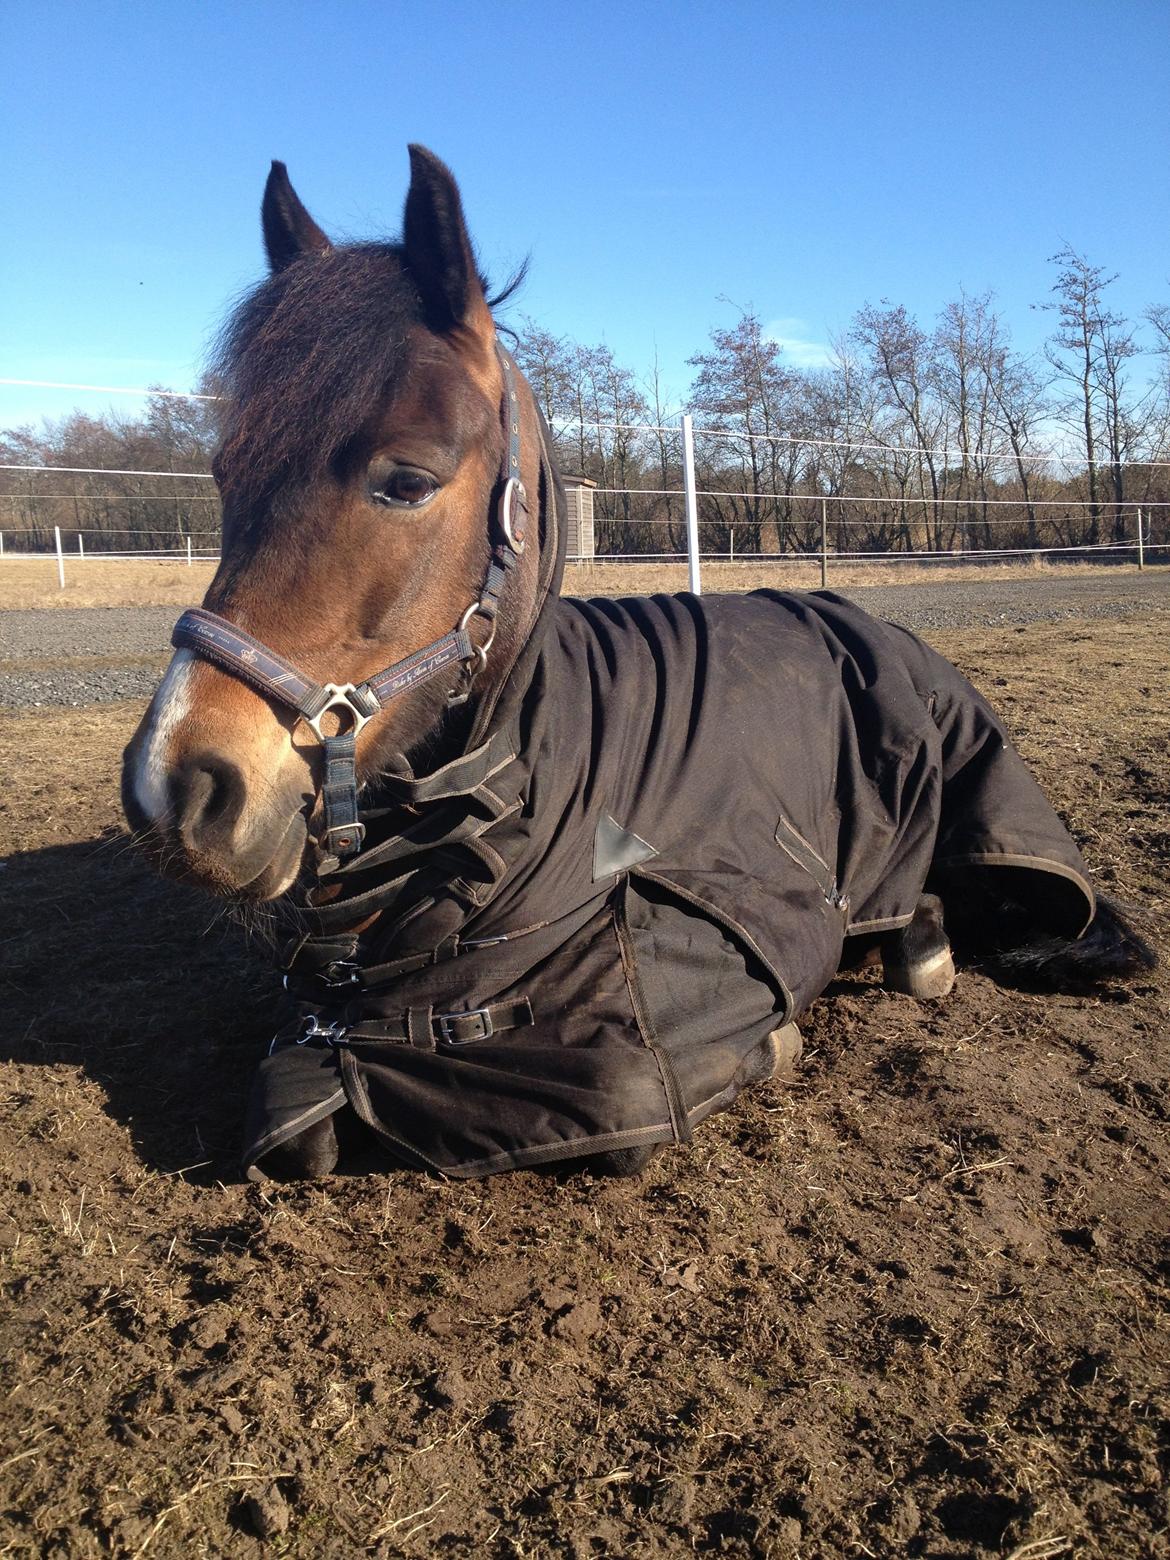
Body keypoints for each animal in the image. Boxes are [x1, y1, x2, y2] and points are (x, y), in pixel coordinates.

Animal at [122, 147, 1155, 1182]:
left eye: (407, 480)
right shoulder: (314, 1042)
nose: (175, 789)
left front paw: (777, 1040)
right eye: (224, 474)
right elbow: (306, 1135)